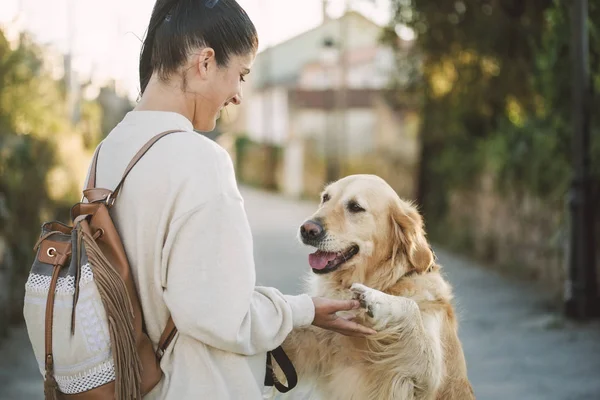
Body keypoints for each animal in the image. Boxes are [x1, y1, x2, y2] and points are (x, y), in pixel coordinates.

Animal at [276, 175, 474, 400]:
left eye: (355, 207)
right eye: (325, 198)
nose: (307, 229)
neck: (387, 282)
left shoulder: (427, 380)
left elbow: (411, 308)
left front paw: (380, 301)